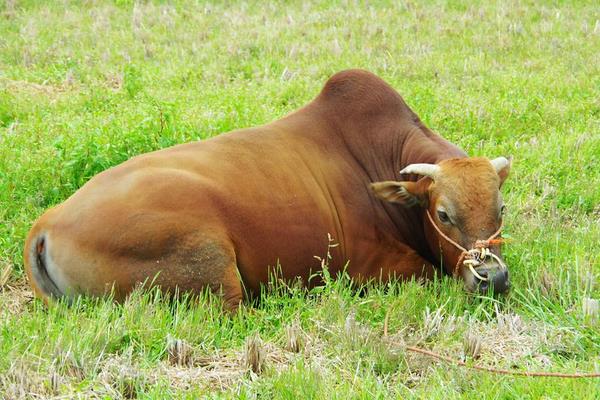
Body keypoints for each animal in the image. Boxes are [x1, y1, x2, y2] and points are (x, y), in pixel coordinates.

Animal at [23, 70, 510, 308]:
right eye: (443, 213)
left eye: (500, 209)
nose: (494, 278)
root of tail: (48, 222)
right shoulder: (372, 269)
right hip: (213, 269)